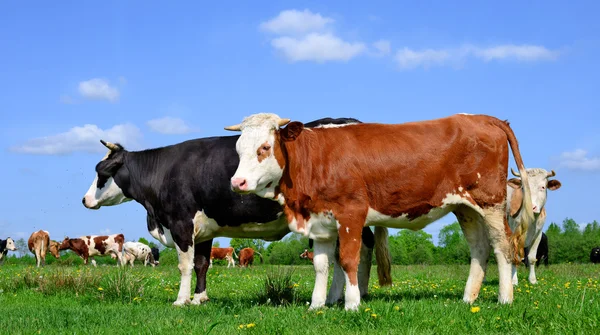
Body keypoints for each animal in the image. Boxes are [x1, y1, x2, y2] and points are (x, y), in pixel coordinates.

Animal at [79, 117, 392, 308]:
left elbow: (184, 266)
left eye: (101, 173)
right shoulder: (204, 229)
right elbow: (202, 264)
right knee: (359, 247)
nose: (84, 200)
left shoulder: (180, 224)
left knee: (357, 249)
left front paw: (181, 300)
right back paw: (347, 294)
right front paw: (200, 298)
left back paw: (349, 294)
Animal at [225, 113, 536, 312]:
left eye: (265, 147)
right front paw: (316, 305)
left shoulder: (351, 214)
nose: (237, 183)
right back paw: (468, 299)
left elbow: (348, 260)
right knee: (479, 248)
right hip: (464, 207)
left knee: (502, 246)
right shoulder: (320, 222)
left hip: (491, 202)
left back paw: (504, 299)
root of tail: (482, 117)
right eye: (238, 150)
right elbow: (321, 265)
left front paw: (352, 304)